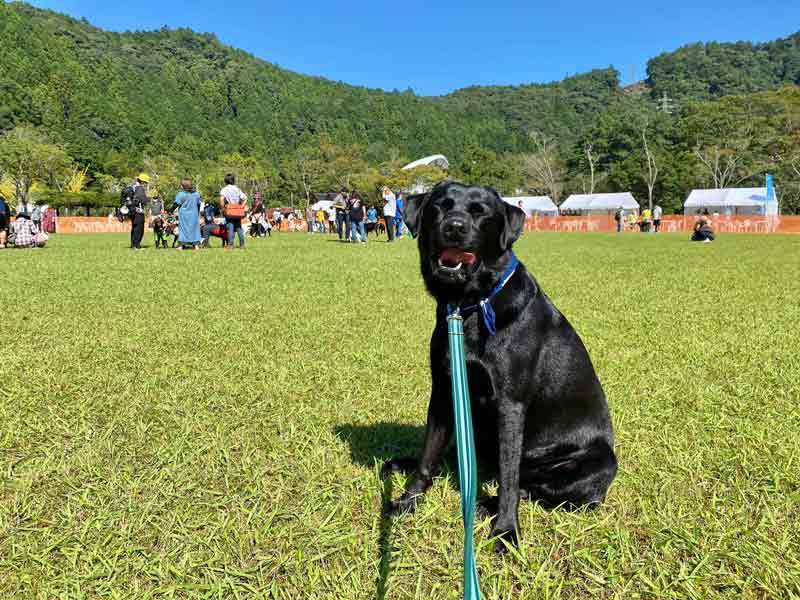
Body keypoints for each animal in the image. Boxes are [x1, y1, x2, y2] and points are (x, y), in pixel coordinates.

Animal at [384, 182, 616, 552]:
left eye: (481, 213)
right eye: (440, 206)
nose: (454, 227)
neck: (469, 305)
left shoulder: (510, 405)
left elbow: (508, 479)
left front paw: (506, 531)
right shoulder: (444, 391)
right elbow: (427, 455)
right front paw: (409, 500)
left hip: (595, 463)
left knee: (533, 488)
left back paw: (487, 503)